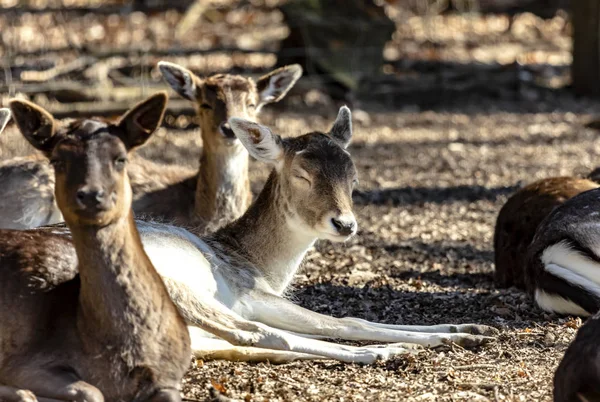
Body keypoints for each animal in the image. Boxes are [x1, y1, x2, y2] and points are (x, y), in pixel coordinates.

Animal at [0, 92, 192, 400]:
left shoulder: (171, 376)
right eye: (58, 160)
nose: (91, 194)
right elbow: (92, 391)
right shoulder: (27, 360)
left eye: (120, 158)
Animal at [14, 103, 500, 364]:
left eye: (354, 176)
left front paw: (473, 325)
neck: (254, 262)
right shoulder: (248, 292)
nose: (345, 224)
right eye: (302, 174)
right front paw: (453, 335)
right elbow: (349, 321)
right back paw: (382, 354)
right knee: (258, 334)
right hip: (168, 286)